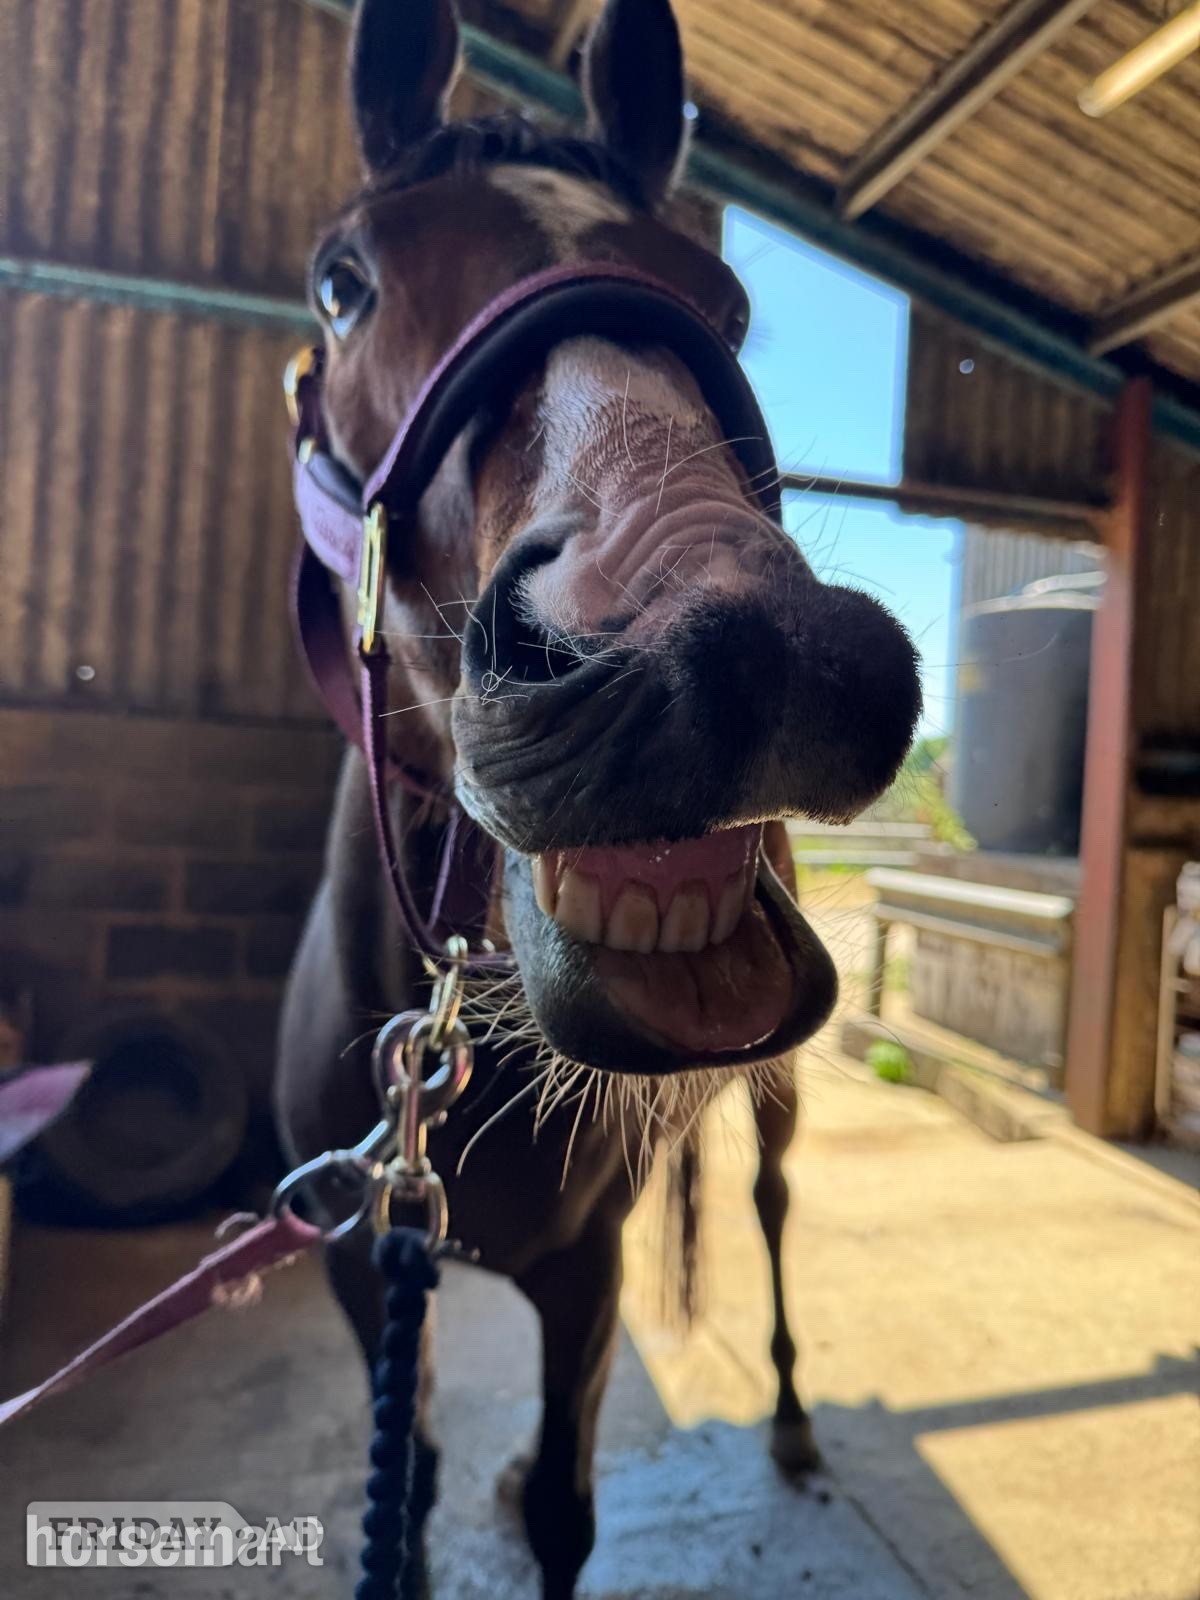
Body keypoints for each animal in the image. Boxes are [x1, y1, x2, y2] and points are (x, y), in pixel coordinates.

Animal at [273, 1, 921, 1595]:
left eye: (729, 307)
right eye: (340, 283)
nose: (738, 650)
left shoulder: (588, 1271)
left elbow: (569, 1508)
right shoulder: (362, 1264)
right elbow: (408, 1487)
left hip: (774, 1104)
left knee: (769, 1202)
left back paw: (792, 1414)